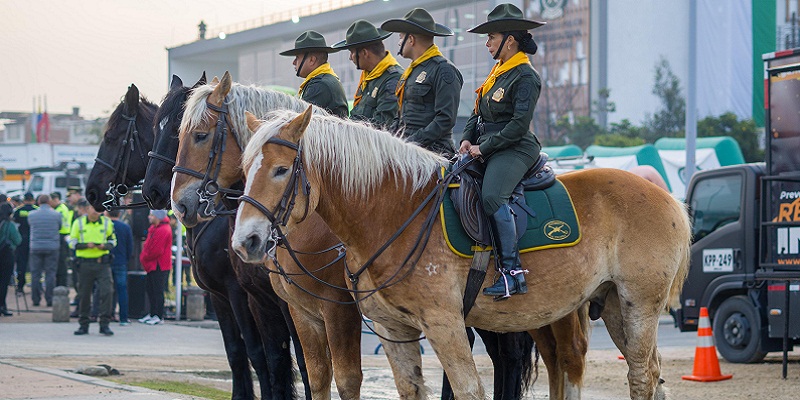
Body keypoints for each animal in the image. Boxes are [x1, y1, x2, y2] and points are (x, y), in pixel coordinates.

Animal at [89, 76, 308, 400]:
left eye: (112, 136)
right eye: (156, 129)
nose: (91, 191)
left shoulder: (250, 296)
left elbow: (277, 358)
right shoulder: (227, 297)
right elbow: (244, 354)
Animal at [233, 106, 692, 400]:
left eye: (280, 170)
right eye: (245, 169)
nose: (245, 241)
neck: (395, 211)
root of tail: (669, 198)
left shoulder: (444, 324)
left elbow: (468, 389)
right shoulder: (392, 329)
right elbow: (409, 389)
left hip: (638, 306)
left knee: (638, 376)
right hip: (612, 306)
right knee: (647, 375)